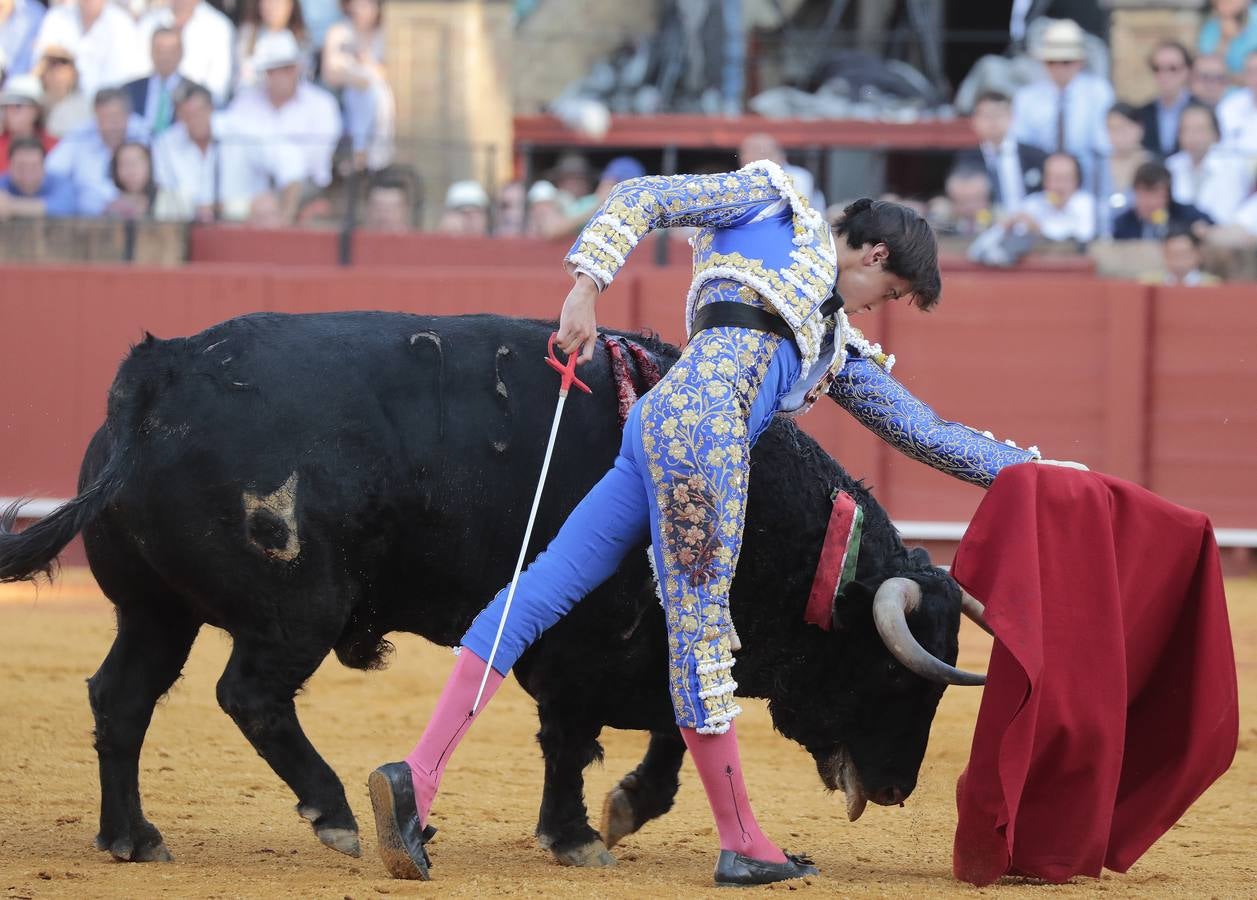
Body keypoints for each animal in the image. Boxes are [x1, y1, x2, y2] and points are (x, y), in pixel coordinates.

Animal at [0, 309, 970, 864]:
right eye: (894, 678)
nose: (897, 789)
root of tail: (158, 372)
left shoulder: (644, 643)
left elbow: (667, 726)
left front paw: (620, 812)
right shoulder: (584, 644)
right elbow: (580, 736)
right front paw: (577, 835)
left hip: (153, 609)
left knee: (121, 698)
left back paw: (132, 838)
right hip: (295, 609)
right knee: (249, 696)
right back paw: (339, 814)